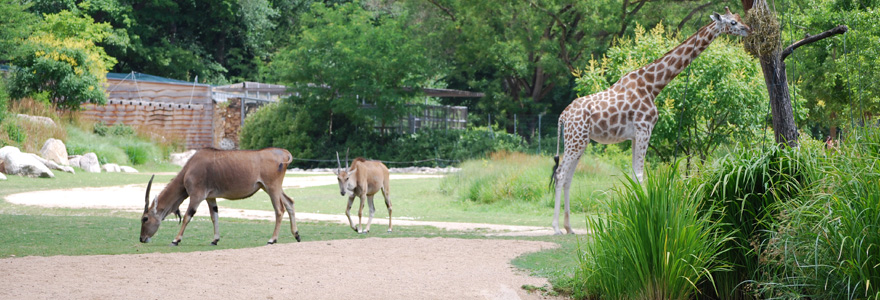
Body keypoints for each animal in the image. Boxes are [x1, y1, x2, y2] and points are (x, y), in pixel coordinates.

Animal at [139, 146, 300, 245]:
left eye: (145, 218)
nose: (142, 239)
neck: (189, 168)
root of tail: (284, 153)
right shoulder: (210, 198)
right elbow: (214, 216)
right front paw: (215, 240)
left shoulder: (197, 196)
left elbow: (187, 217)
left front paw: (176, 240)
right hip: (272, 188)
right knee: (290, 202)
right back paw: (296, 235)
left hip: (272, 188)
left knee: (279, 210)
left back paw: (272, 239)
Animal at [552, 7, 748, 234]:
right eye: (733, 22)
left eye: (739, 19)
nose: (748, 29)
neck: (653, 86)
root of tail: (563, 115)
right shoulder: (644, 128)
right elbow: (639, 175)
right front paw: (643, 221)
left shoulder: (635, 135)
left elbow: (634, 175)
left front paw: (633, 220)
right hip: (575, 140)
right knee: (560, 174)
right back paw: (556, 228)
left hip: (580, 141)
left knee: (568, 177)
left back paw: (569, 228)